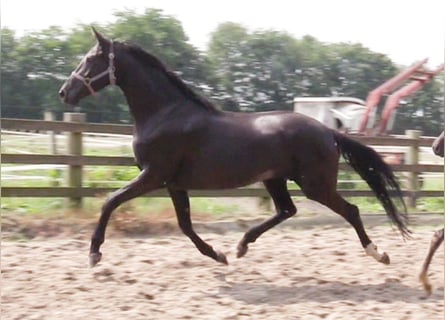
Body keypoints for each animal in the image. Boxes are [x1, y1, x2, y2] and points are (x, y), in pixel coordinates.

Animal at [58, 28, 410, 268]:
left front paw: (94, 253)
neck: (165, 114)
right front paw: (218, 254)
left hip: (315, 184)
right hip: (275, 179)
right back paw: (242, 245)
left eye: (90, 59)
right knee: (287, 210)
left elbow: (110, 201)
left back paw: (379, 253)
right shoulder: (173, 183)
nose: (65, 92)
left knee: (349, 211)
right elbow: (185, 225)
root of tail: (327, 130)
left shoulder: (152, 176)